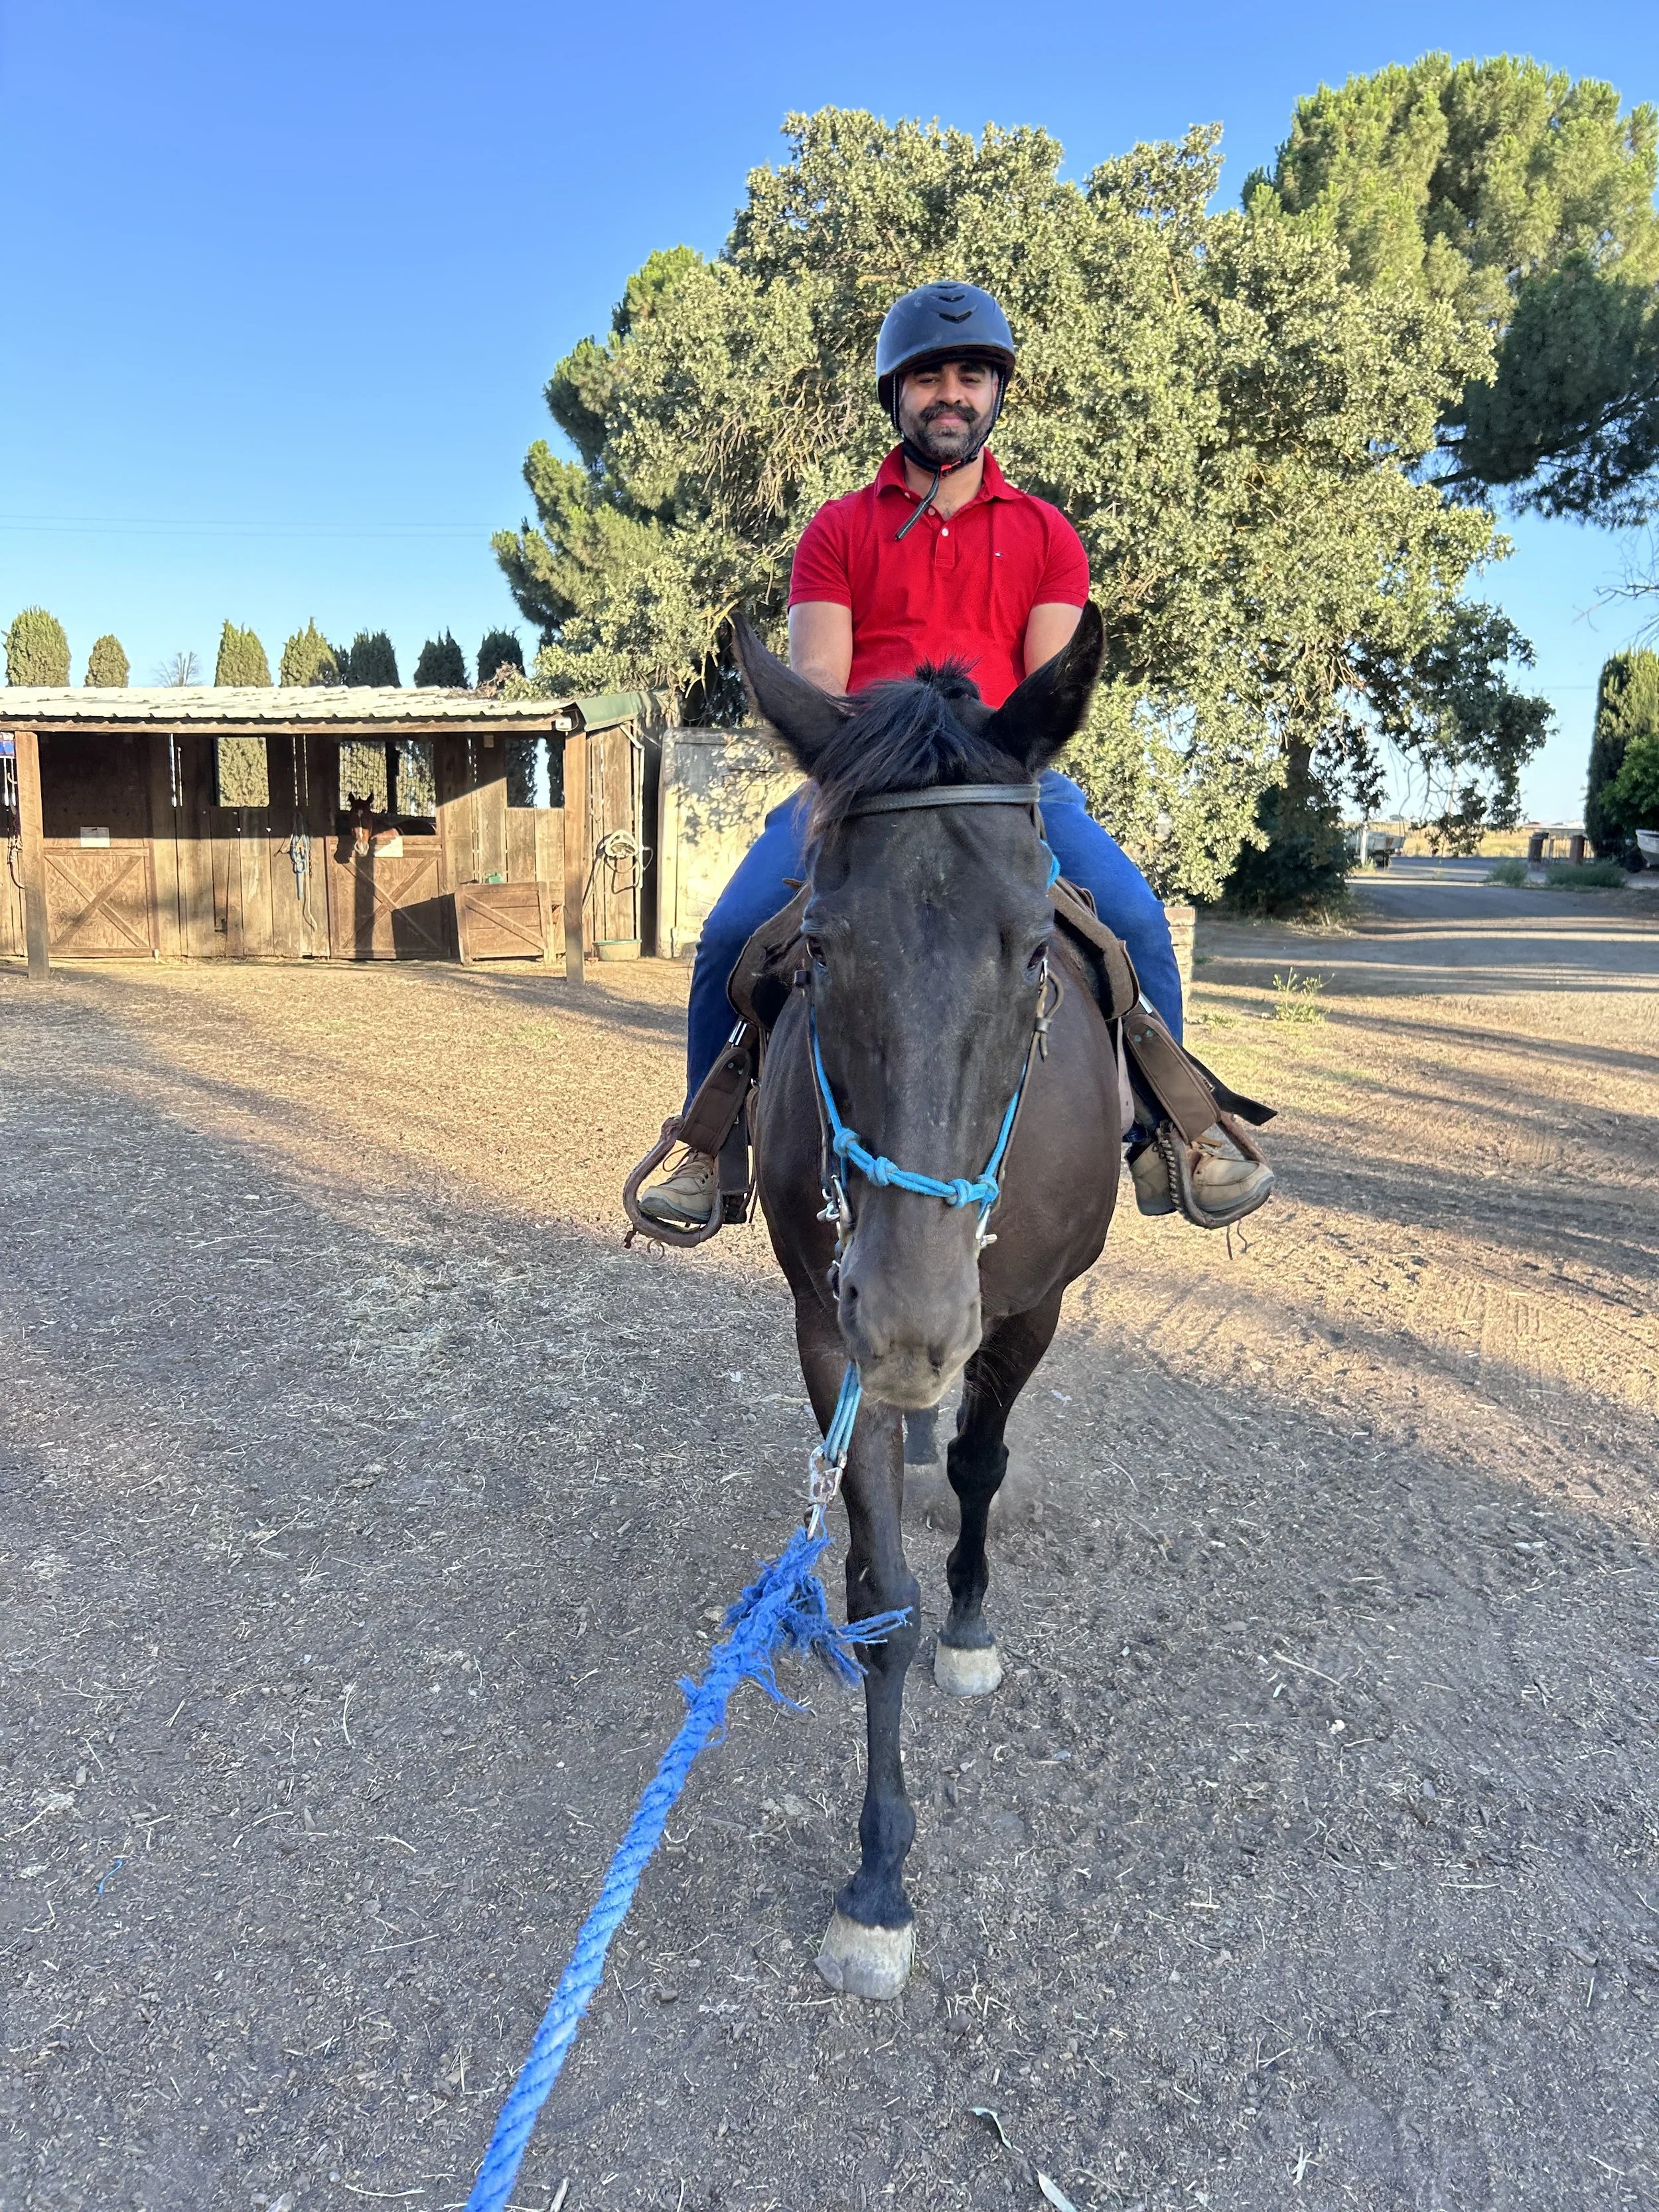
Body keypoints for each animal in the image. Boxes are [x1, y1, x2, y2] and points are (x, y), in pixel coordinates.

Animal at [734, 603, 1123, 2001]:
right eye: (817, 947)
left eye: (1034, 952)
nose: (913, 1317)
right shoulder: (824, 1325)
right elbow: (875, 1590)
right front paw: (880, 1880)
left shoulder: (1035, 1308)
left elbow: (982, 1465)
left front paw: (966, 1618)